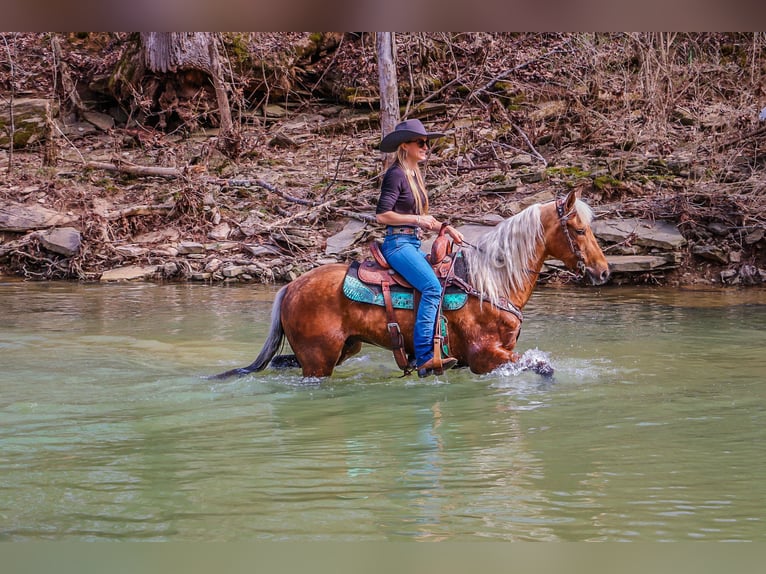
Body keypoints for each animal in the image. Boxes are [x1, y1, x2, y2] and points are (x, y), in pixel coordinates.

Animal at [213, 189, 608, 380]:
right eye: (578, 230)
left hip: (342, 349)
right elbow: (544, 367)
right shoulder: (485, 357)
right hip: (319, 360)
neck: (490, 284)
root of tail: (290, 287)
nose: (604, 272)